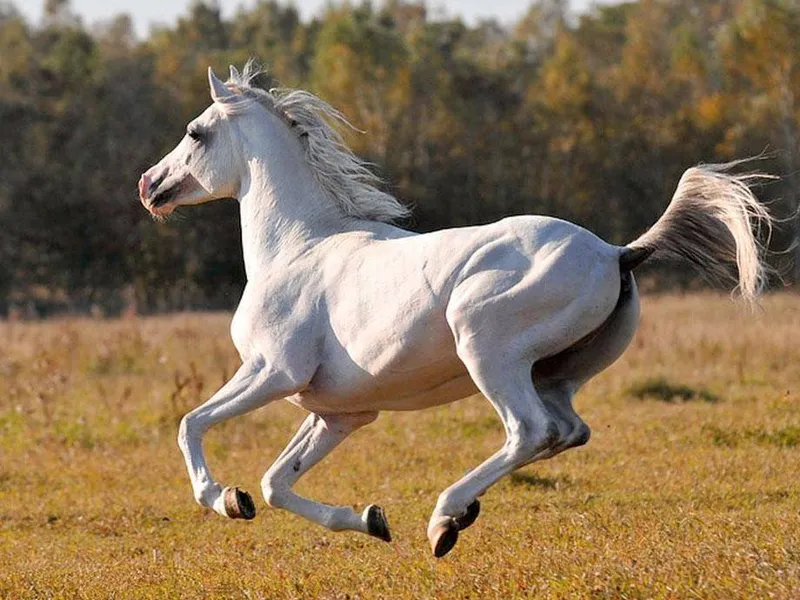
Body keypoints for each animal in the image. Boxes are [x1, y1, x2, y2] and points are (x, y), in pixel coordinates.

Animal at [137, 63, 772, 558]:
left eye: (195, 132)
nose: (149, 185)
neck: (298, 246)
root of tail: (618, 252)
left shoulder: (271, 372)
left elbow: (191, 423)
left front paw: (223, 499)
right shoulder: (339, 413)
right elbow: (275, 483)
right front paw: (367, 519)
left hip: (487, 351)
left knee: (531, 430)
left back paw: (444, 520)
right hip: (555, 373)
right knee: (568, 431)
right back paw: (459, 514)